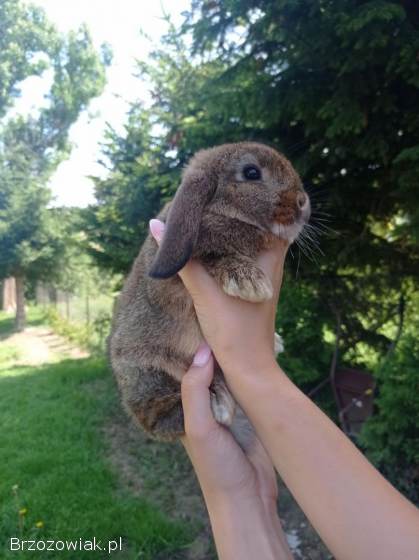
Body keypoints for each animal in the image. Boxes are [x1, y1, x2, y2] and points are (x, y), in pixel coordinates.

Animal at [110, 143, 310, 446]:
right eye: (251, 173)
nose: (303, 202)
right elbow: (213, 253)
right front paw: (250, 283)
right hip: (147, 373)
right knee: (155, 416)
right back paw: (217, 404)